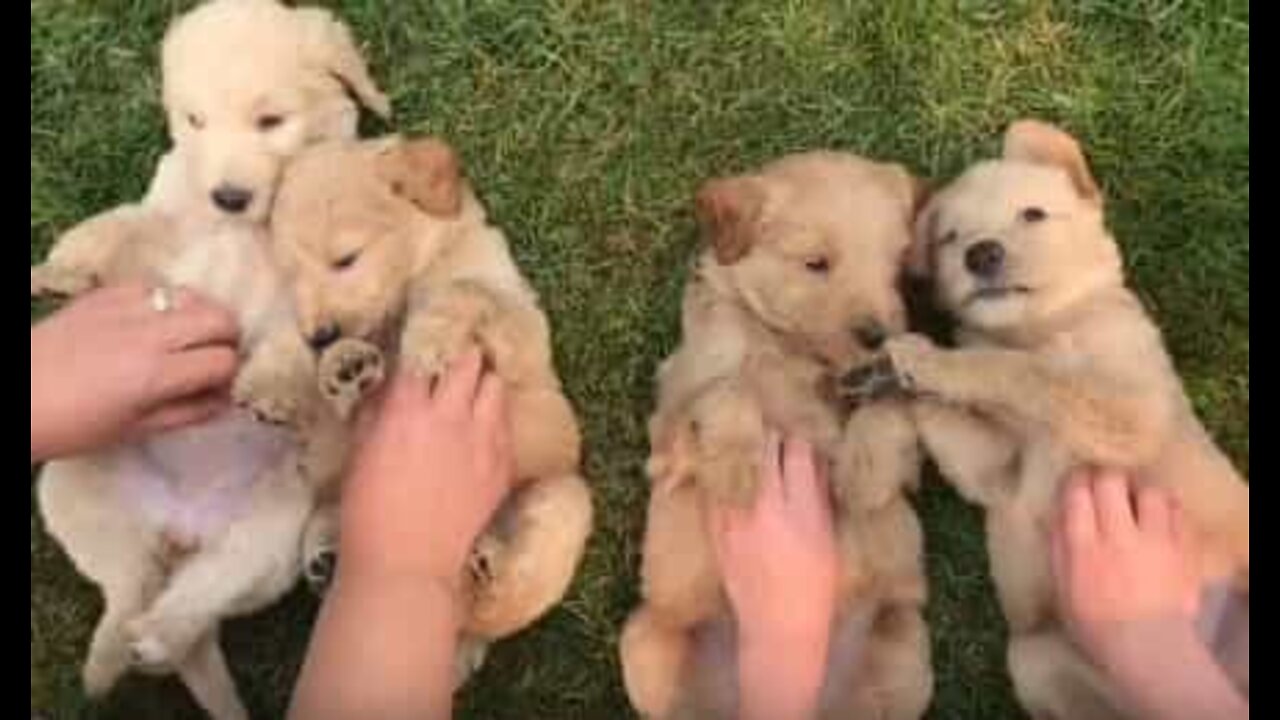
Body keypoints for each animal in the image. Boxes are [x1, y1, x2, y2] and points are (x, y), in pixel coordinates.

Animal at [30, 1, 386, 717]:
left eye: (270, 120)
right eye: (193, 121)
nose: (227, 196)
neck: (241, 229)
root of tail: (180, 529)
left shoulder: (314, 286)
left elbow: (293, 337)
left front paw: (273, 384)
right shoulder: (166, 224)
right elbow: (124, 223)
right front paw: (64, 269)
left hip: (265, 534)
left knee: (192, 604)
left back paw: (153, 642)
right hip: (72, 482)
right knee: (128, 588)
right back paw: (109, 662)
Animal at [268, 135, 593, 681]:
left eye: (346, 259)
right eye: (289, 276)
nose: (319, 337)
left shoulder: (522, 334)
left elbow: (468, 290)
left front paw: (429, 340)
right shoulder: (347, 439)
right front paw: (339, 366)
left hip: (566, 501)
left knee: (500, 606)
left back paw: (485, 574)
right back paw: (328, 558)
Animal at [619, 152, 931, 717]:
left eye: (895, 267)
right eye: (816, 263)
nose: (877, 335)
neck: (795, 354)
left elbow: (889, 409)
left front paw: (865, 476)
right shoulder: (671, 419)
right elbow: (729, 389)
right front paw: (736, 472)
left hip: (907, 650)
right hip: (645, 644)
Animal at [844, 120, 1254, 712]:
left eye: (1033, 215)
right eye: (950, 238)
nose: (981, 254)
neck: (1039, 328)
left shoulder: (1127, 413)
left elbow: (1018, 371)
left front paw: (927, 359)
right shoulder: (996, 471)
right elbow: (953, 410)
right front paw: (889, 375)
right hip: (1035, 658)